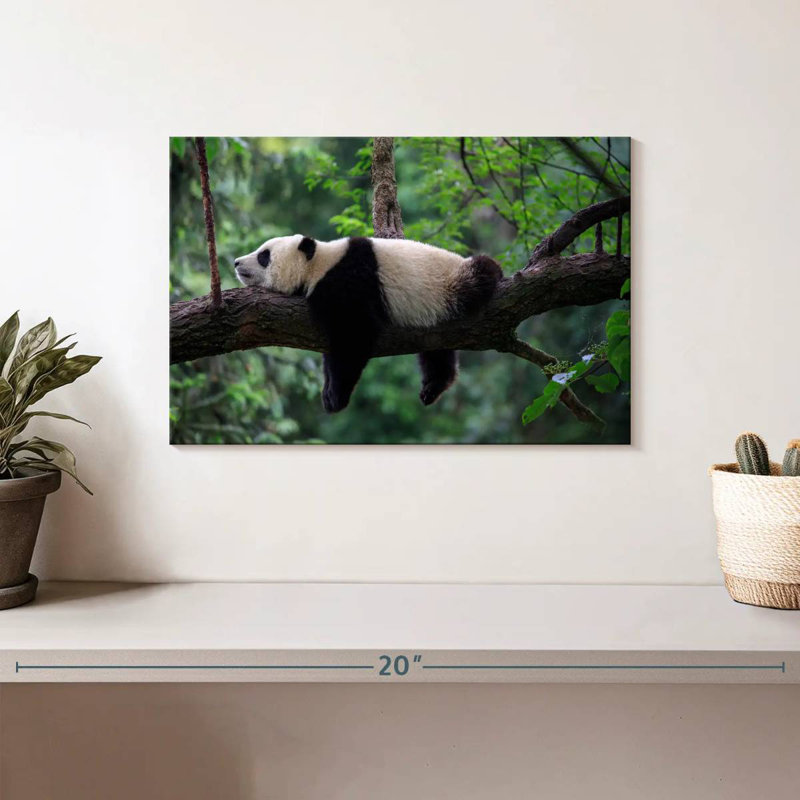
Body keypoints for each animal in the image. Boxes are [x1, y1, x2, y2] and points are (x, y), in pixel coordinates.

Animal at [234, 235, 502, 413]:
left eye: (264, 256)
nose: (236, 262)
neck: (319, 263)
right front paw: (328, 391)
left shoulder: (349, 282)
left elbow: (354, 337)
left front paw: (335, 396)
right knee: (436, 352)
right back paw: (433, 387)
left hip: (451, 283)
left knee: (480, 273)